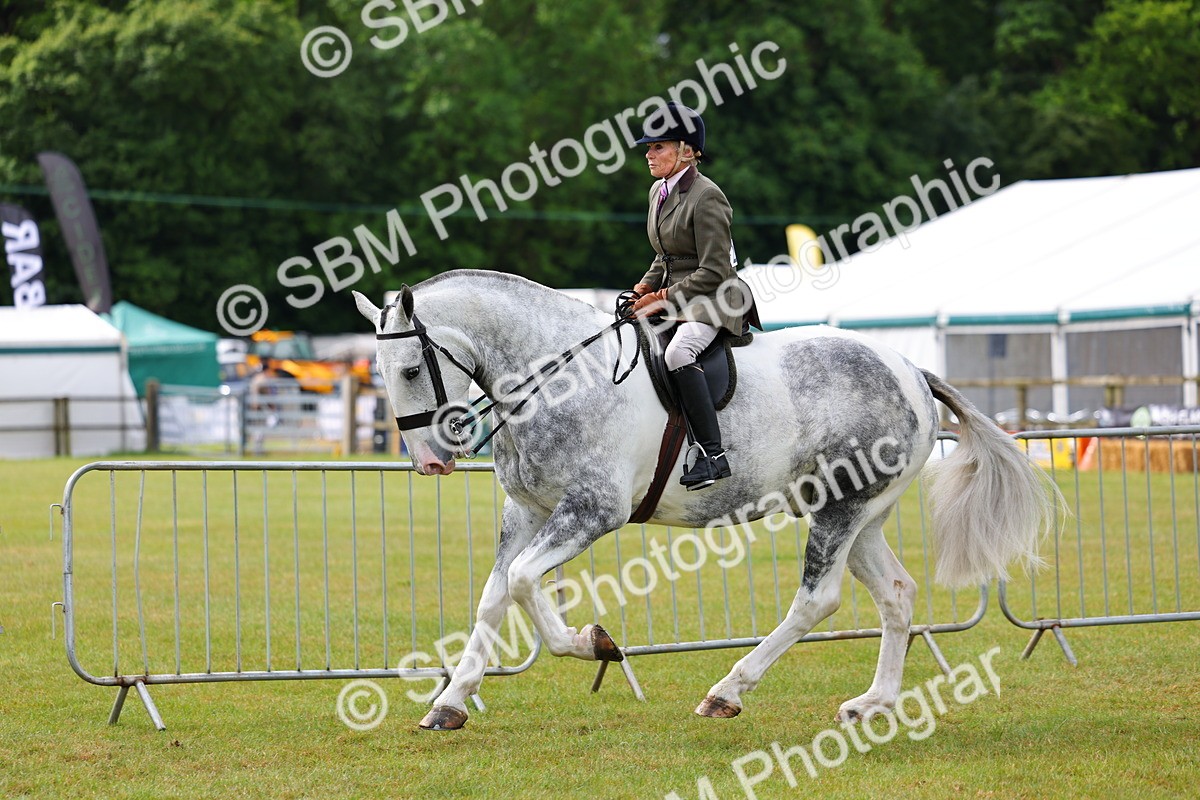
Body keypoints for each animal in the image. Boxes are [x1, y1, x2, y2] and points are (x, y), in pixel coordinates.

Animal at [353, 269, 1056, 730]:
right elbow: (495, 595)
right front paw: (450, 702)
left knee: (817, 599)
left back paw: (728, 691)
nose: (431, 462)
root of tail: (911, 370)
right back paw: (872, 703)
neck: (554, 377)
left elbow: (525, 581)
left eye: (411, 369)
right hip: (861, 516)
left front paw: (593, 643)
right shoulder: (526, 511)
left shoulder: (592, 512)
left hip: (841, 510)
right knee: (896, 593)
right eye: (379, 374)